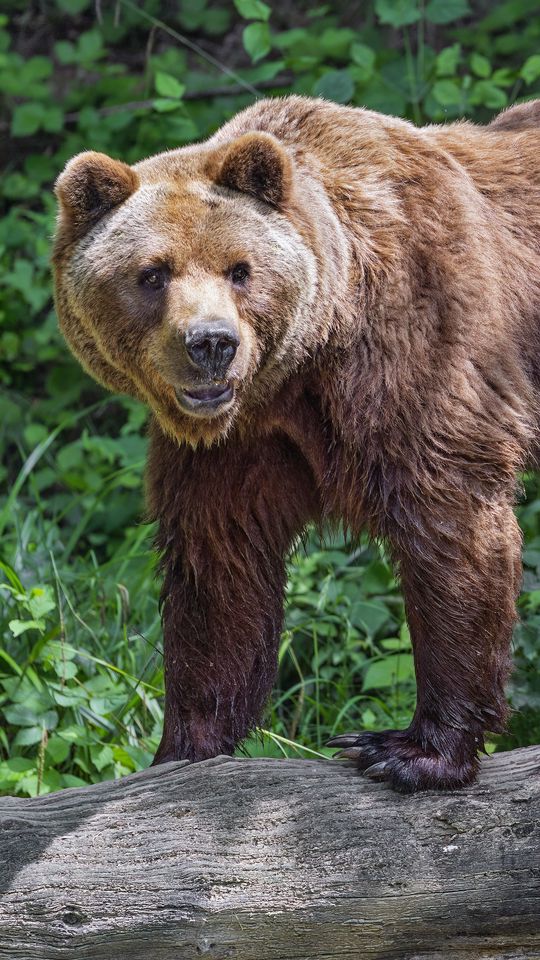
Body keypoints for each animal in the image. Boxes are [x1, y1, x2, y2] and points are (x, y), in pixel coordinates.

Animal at [52, 95, 540, 793]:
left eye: (240, 269)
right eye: (152, 273)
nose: (211, 342)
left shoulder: (421, 354)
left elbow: (451, 527)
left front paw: (410, 751)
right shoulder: (235, 447)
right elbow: (220, 574)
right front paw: (185, 745)